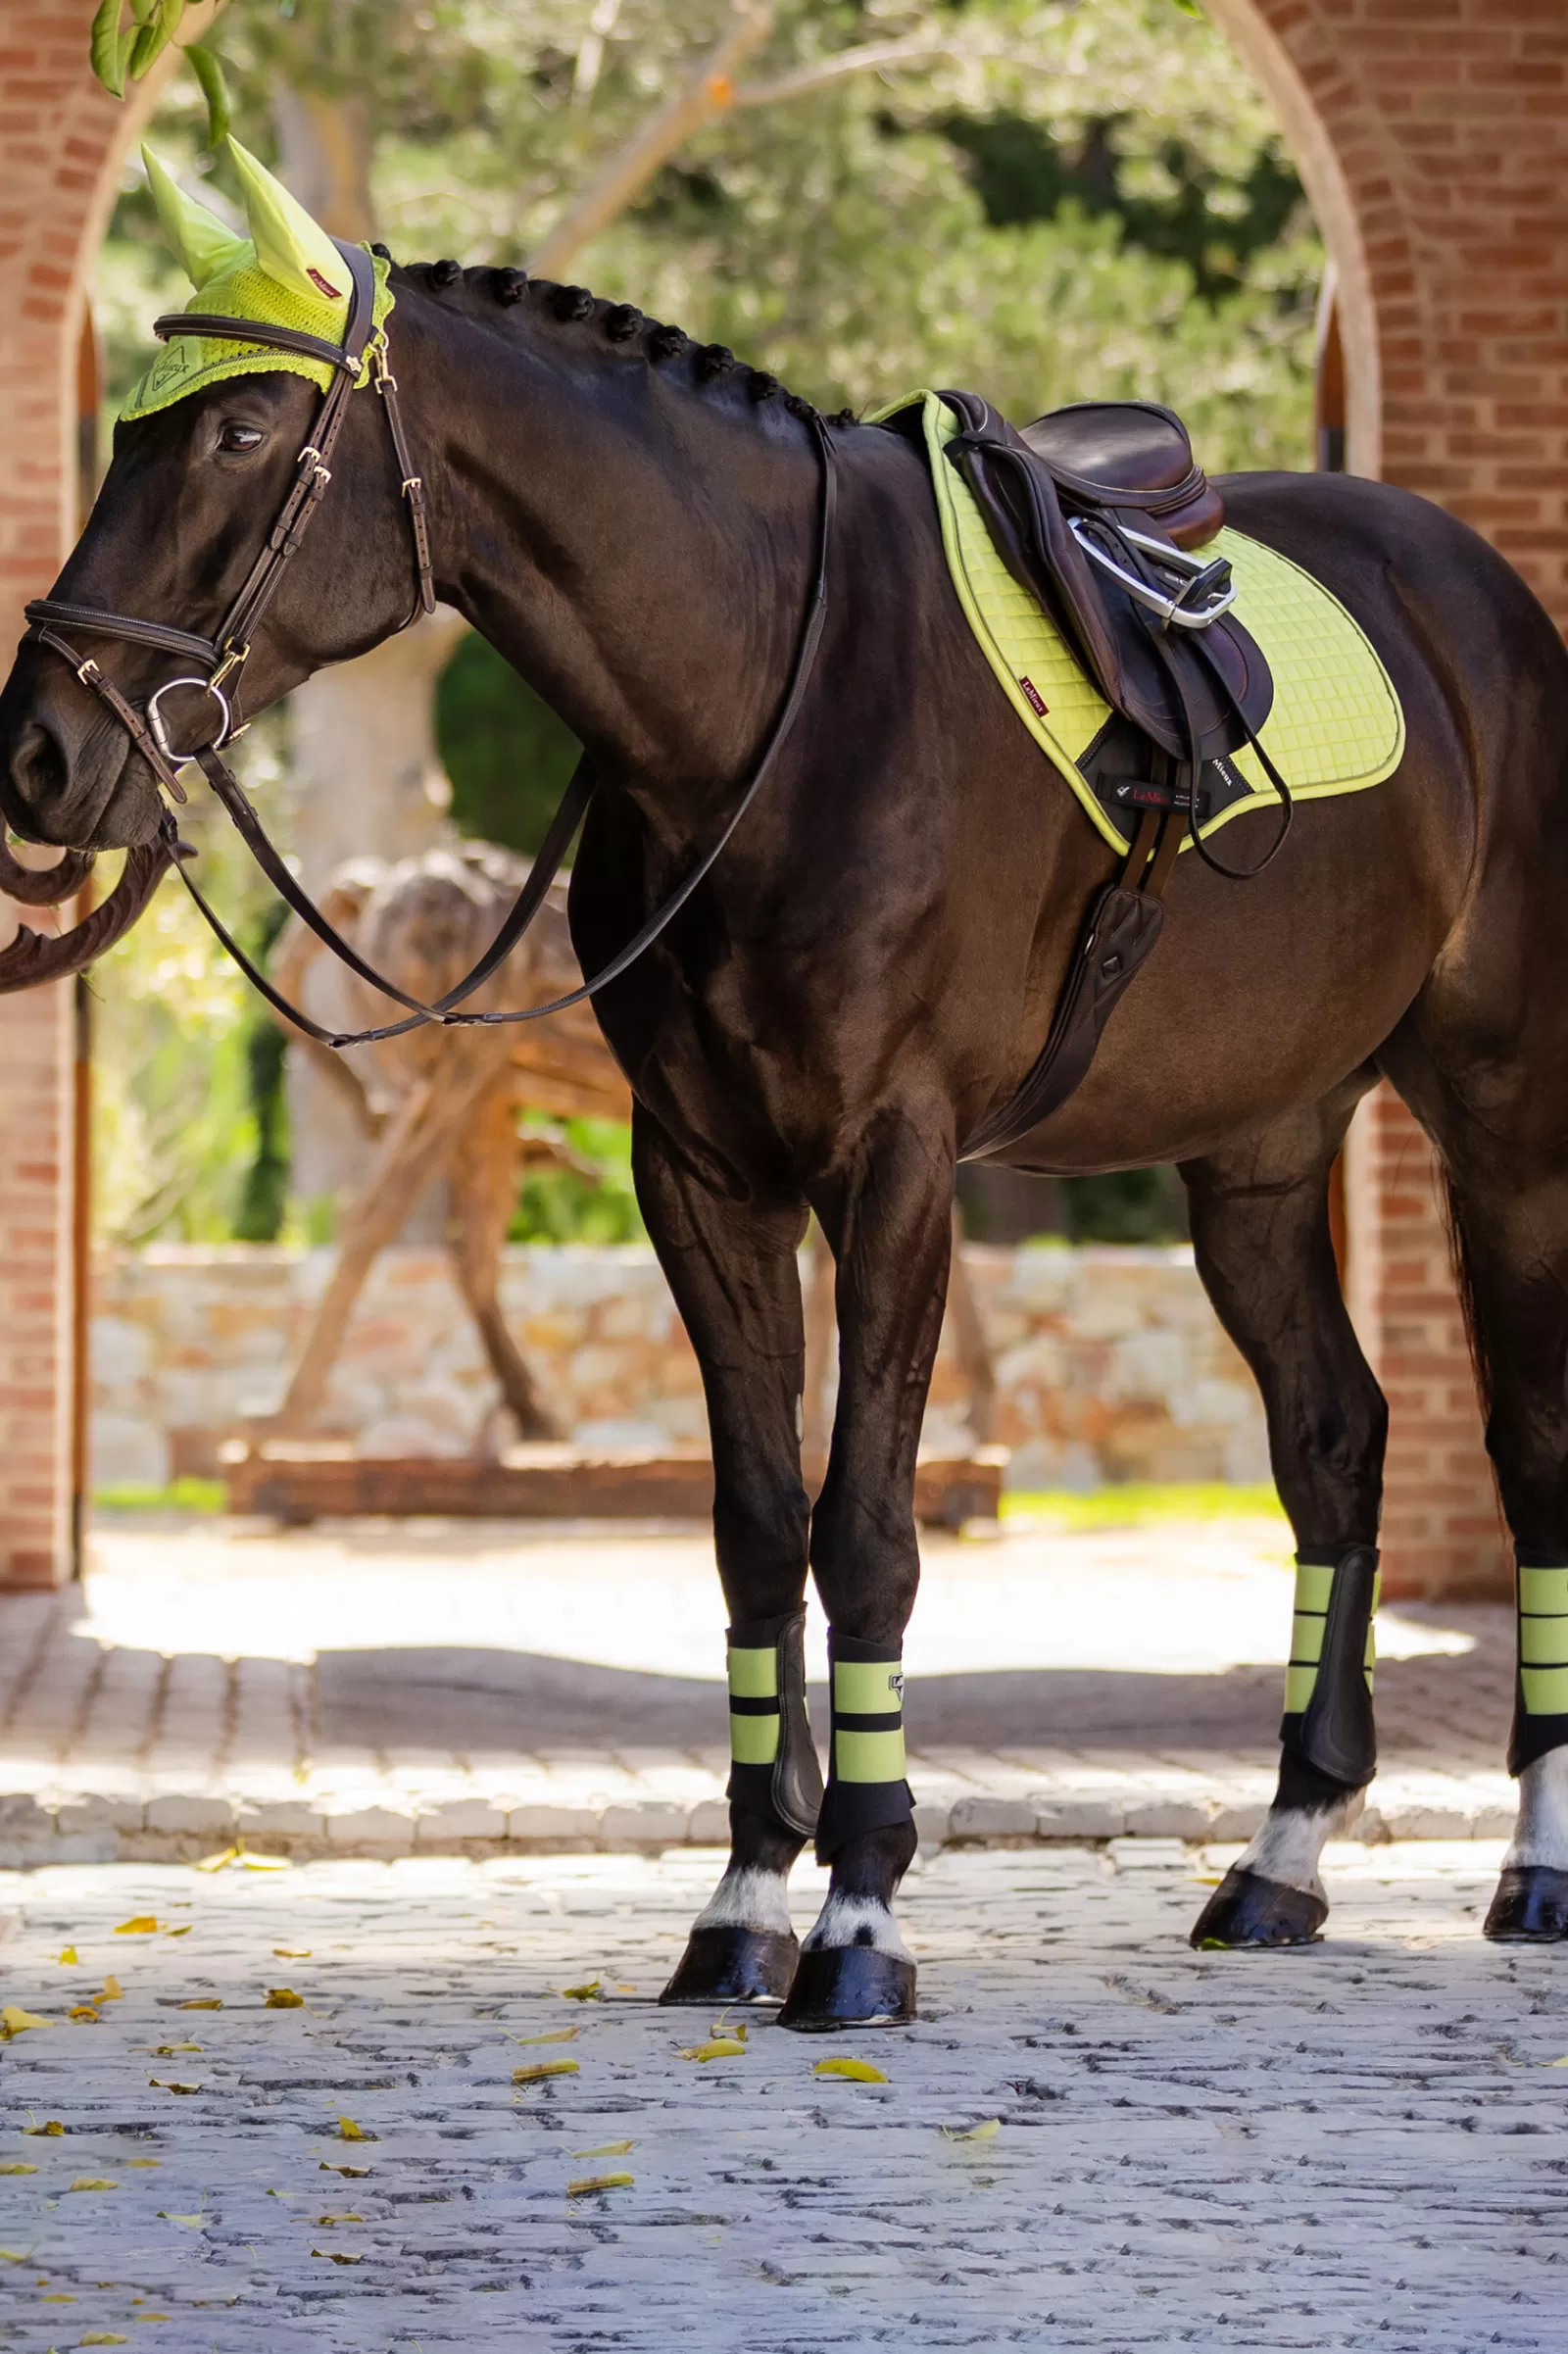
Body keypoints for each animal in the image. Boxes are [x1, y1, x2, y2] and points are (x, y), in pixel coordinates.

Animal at [3, 253, 1563, 2024]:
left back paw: (1534, 1863)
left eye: (241, 431)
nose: (40, 749)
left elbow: (866, 1529)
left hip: (1505, 1112)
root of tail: (1481, 600)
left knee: (1529, 1444)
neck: (769, 700)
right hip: (1258, 1155)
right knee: (1333, 1438)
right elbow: (757, 1528)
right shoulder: (699, 1174)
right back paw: (1281, 1855)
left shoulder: (894, 1168)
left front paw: (863, 1916)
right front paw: (746, 1897)